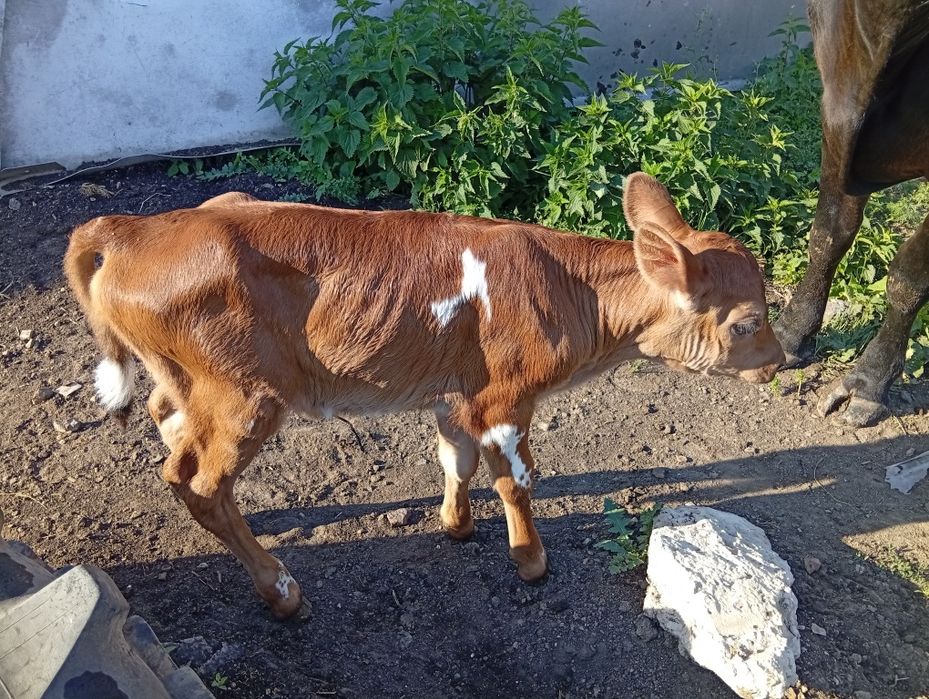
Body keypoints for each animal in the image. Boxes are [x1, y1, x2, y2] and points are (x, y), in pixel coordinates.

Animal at [64, 173, 784, 619]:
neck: (567, 290)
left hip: (189, 380)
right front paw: (530, 560)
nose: (780, 362)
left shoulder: (454, 389)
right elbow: (515, 481)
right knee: (200, 483)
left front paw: (455, 524)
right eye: (748, 321)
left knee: (167, 428)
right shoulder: (505, 397)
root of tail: (130, 228)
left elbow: (454, 461)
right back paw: (281, 591)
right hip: (244, 393)